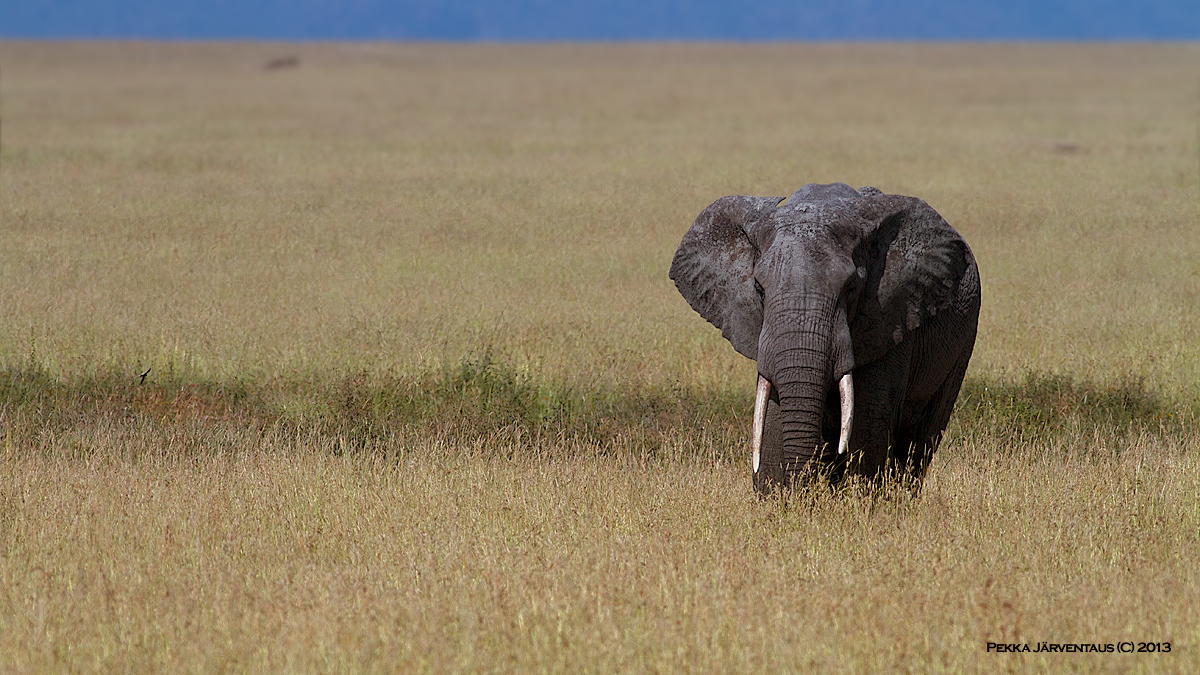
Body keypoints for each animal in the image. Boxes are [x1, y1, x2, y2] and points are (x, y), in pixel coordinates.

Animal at [672, 181, 979, 492]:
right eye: (759, 288)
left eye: (851, 288)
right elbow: (773, 420)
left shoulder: (891, 319)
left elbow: (869, 423)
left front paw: (860, 498)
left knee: (920, 441)